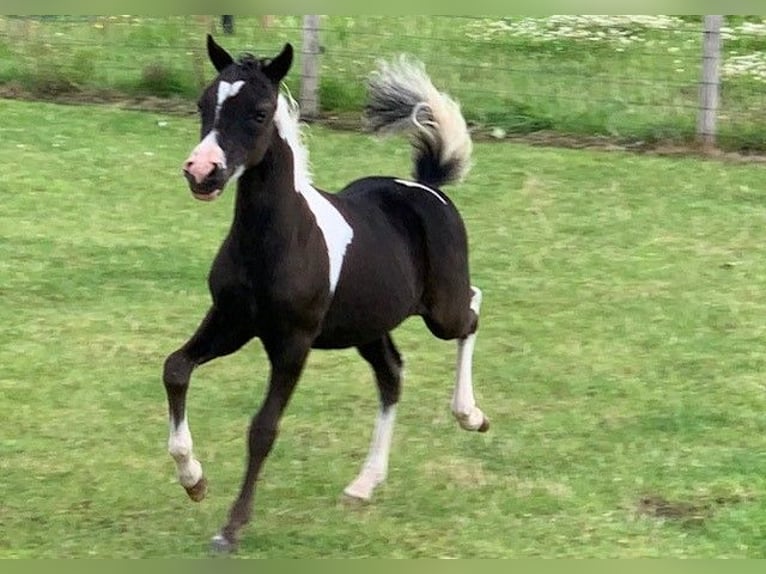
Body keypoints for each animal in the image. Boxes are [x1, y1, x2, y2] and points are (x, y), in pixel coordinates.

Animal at [163, 35, 489, 552]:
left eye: (258, 112)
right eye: (203, 103)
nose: (202, 172)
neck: (277, 239)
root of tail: (425, 187)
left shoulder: (292, 343)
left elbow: (263, 428)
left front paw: (231, 529)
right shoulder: (231, 322)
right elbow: (175, 368)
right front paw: (194, 480)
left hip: (442, 309)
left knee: (473, 308)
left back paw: (470, 415)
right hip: (368, 327)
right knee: (392, 376)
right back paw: (363, 485)